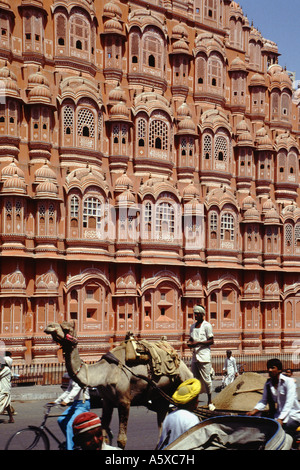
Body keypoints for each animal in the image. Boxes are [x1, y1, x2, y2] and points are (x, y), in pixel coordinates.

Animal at [44, 322, 192, 450]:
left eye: (66, 328)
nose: (49, 326)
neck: (104, 372)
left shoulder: (124, 400)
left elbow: (121, 439)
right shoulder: (107, 401)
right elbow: (103, 433)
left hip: (184, 381)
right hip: (161, 397)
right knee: (162, 424)